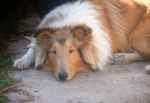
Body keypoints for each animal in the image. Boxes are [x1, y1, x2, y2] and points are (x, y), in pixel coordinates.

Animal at [13, 0, 149, 80]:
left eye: (72, 51)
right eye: (53, 52)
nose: (62, 76)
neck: (67, 24)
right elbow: (34, 47)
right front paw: (22, 60)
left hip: (137, 37)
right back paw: (120, 58)